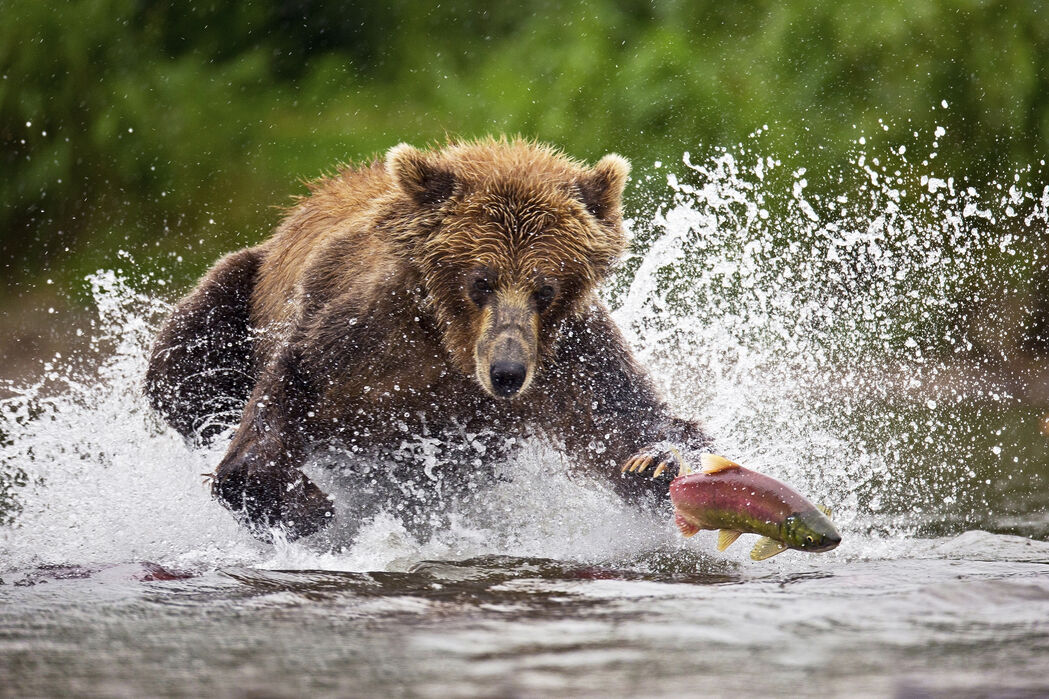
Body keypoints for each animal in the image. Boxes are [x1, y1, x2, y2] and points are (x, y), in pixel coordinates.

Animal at [143, 136, 709, 537]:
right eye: (480, 281)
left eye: (544, 288)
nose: (507, 373)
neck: (450, 345)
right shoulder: (359, 333)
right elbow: (286, 397)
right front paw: (308, 507)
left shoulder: (570, 354)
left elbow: (618, 421)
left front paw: (658, 460)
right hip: (239, 292)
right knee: (182, 366)